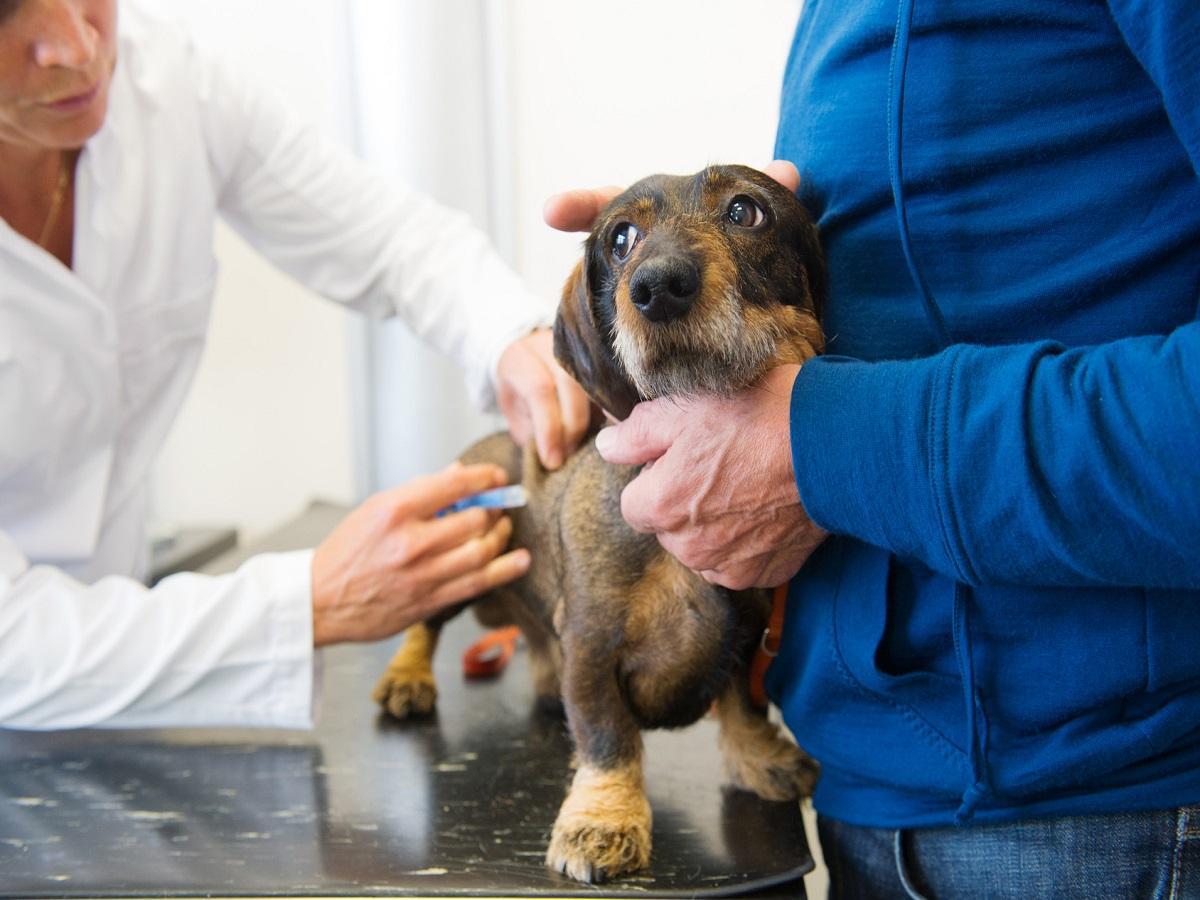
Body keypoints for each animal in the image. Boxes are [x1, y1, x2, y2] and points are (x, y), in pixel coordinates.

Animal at [372, 165, 825, 883]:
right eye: (621, 238)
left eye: (745, 211)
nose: (658, 287)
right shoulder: (590, 643)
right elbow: (609, 738)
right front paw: (603, 820)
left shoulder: (749, 634)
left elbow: (743, 703)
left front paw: (760, 757)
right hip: (467, 547)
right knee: (427, 620)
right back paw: (407, 677)